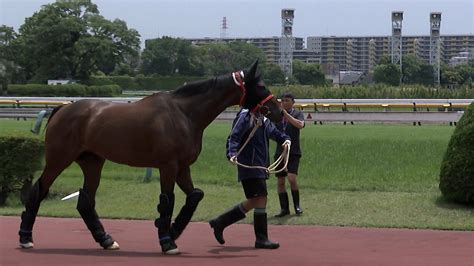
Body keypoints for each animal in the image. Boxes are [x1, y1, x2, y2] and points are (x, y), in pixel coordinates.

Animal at [18, 60, 284, 254]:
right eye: (261, 86)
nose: (279, 112)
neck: (184, 113)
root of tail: (62, 109)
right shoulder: (168, 166)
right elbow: (167, 201)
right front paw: (167, 240)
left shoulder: (182, 167)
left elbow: (195, 195)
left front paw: (173, 230)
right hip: (58, 159)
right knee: (39, 191)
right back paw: (25, 237)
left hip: (92, 162)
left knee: (85, 202)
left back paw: (106, 240)